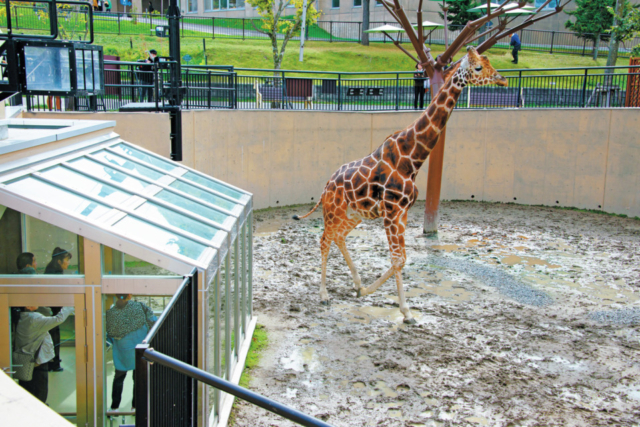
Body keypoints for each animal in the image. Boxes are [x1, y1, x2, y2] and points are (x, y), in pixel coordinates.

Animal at [292, 46, 508, 324]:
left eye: (489, 63)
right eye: (478, 68)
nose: (502, 80)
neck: (413, 159)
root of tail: (326, 185)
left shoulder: (402, 213)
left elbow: (402, 259)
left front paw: (370, 292)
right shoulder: (392, 212)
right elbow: (397, 259)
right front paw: (405, 311)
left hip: (354, 214)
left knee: (339, 238)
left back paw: (357, 284)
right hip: (333, 211)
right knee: (324, 240)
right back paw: (323, 294)